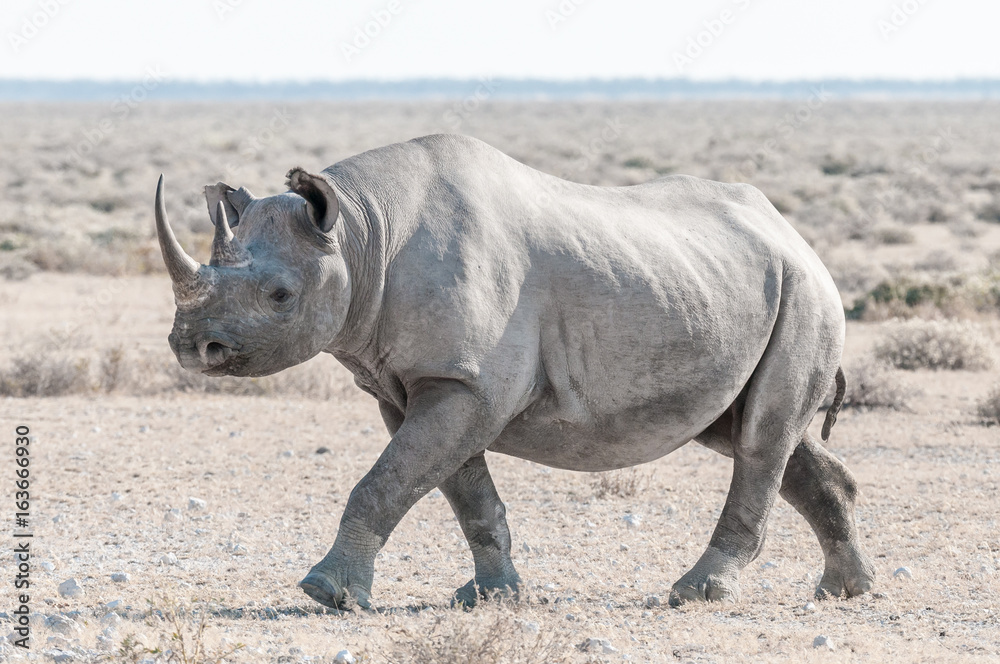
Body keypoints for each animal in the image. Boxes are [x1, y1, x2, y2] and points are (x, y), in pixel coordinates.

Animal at [154, 134, 875, 609]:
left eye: (280, 296)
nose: (192, 347)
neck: (362, 233)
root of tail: (795, 234)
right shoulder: (419, 383)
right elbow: (459, 489)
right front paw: (490, 597)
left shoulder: (466, 383)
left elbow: (386, 481)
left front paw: (326, 594)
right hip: (741, 285)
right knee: (749, 431)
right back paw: (845, 590)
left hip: (805, 290)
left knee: (758, 440)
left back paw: (697, 593)